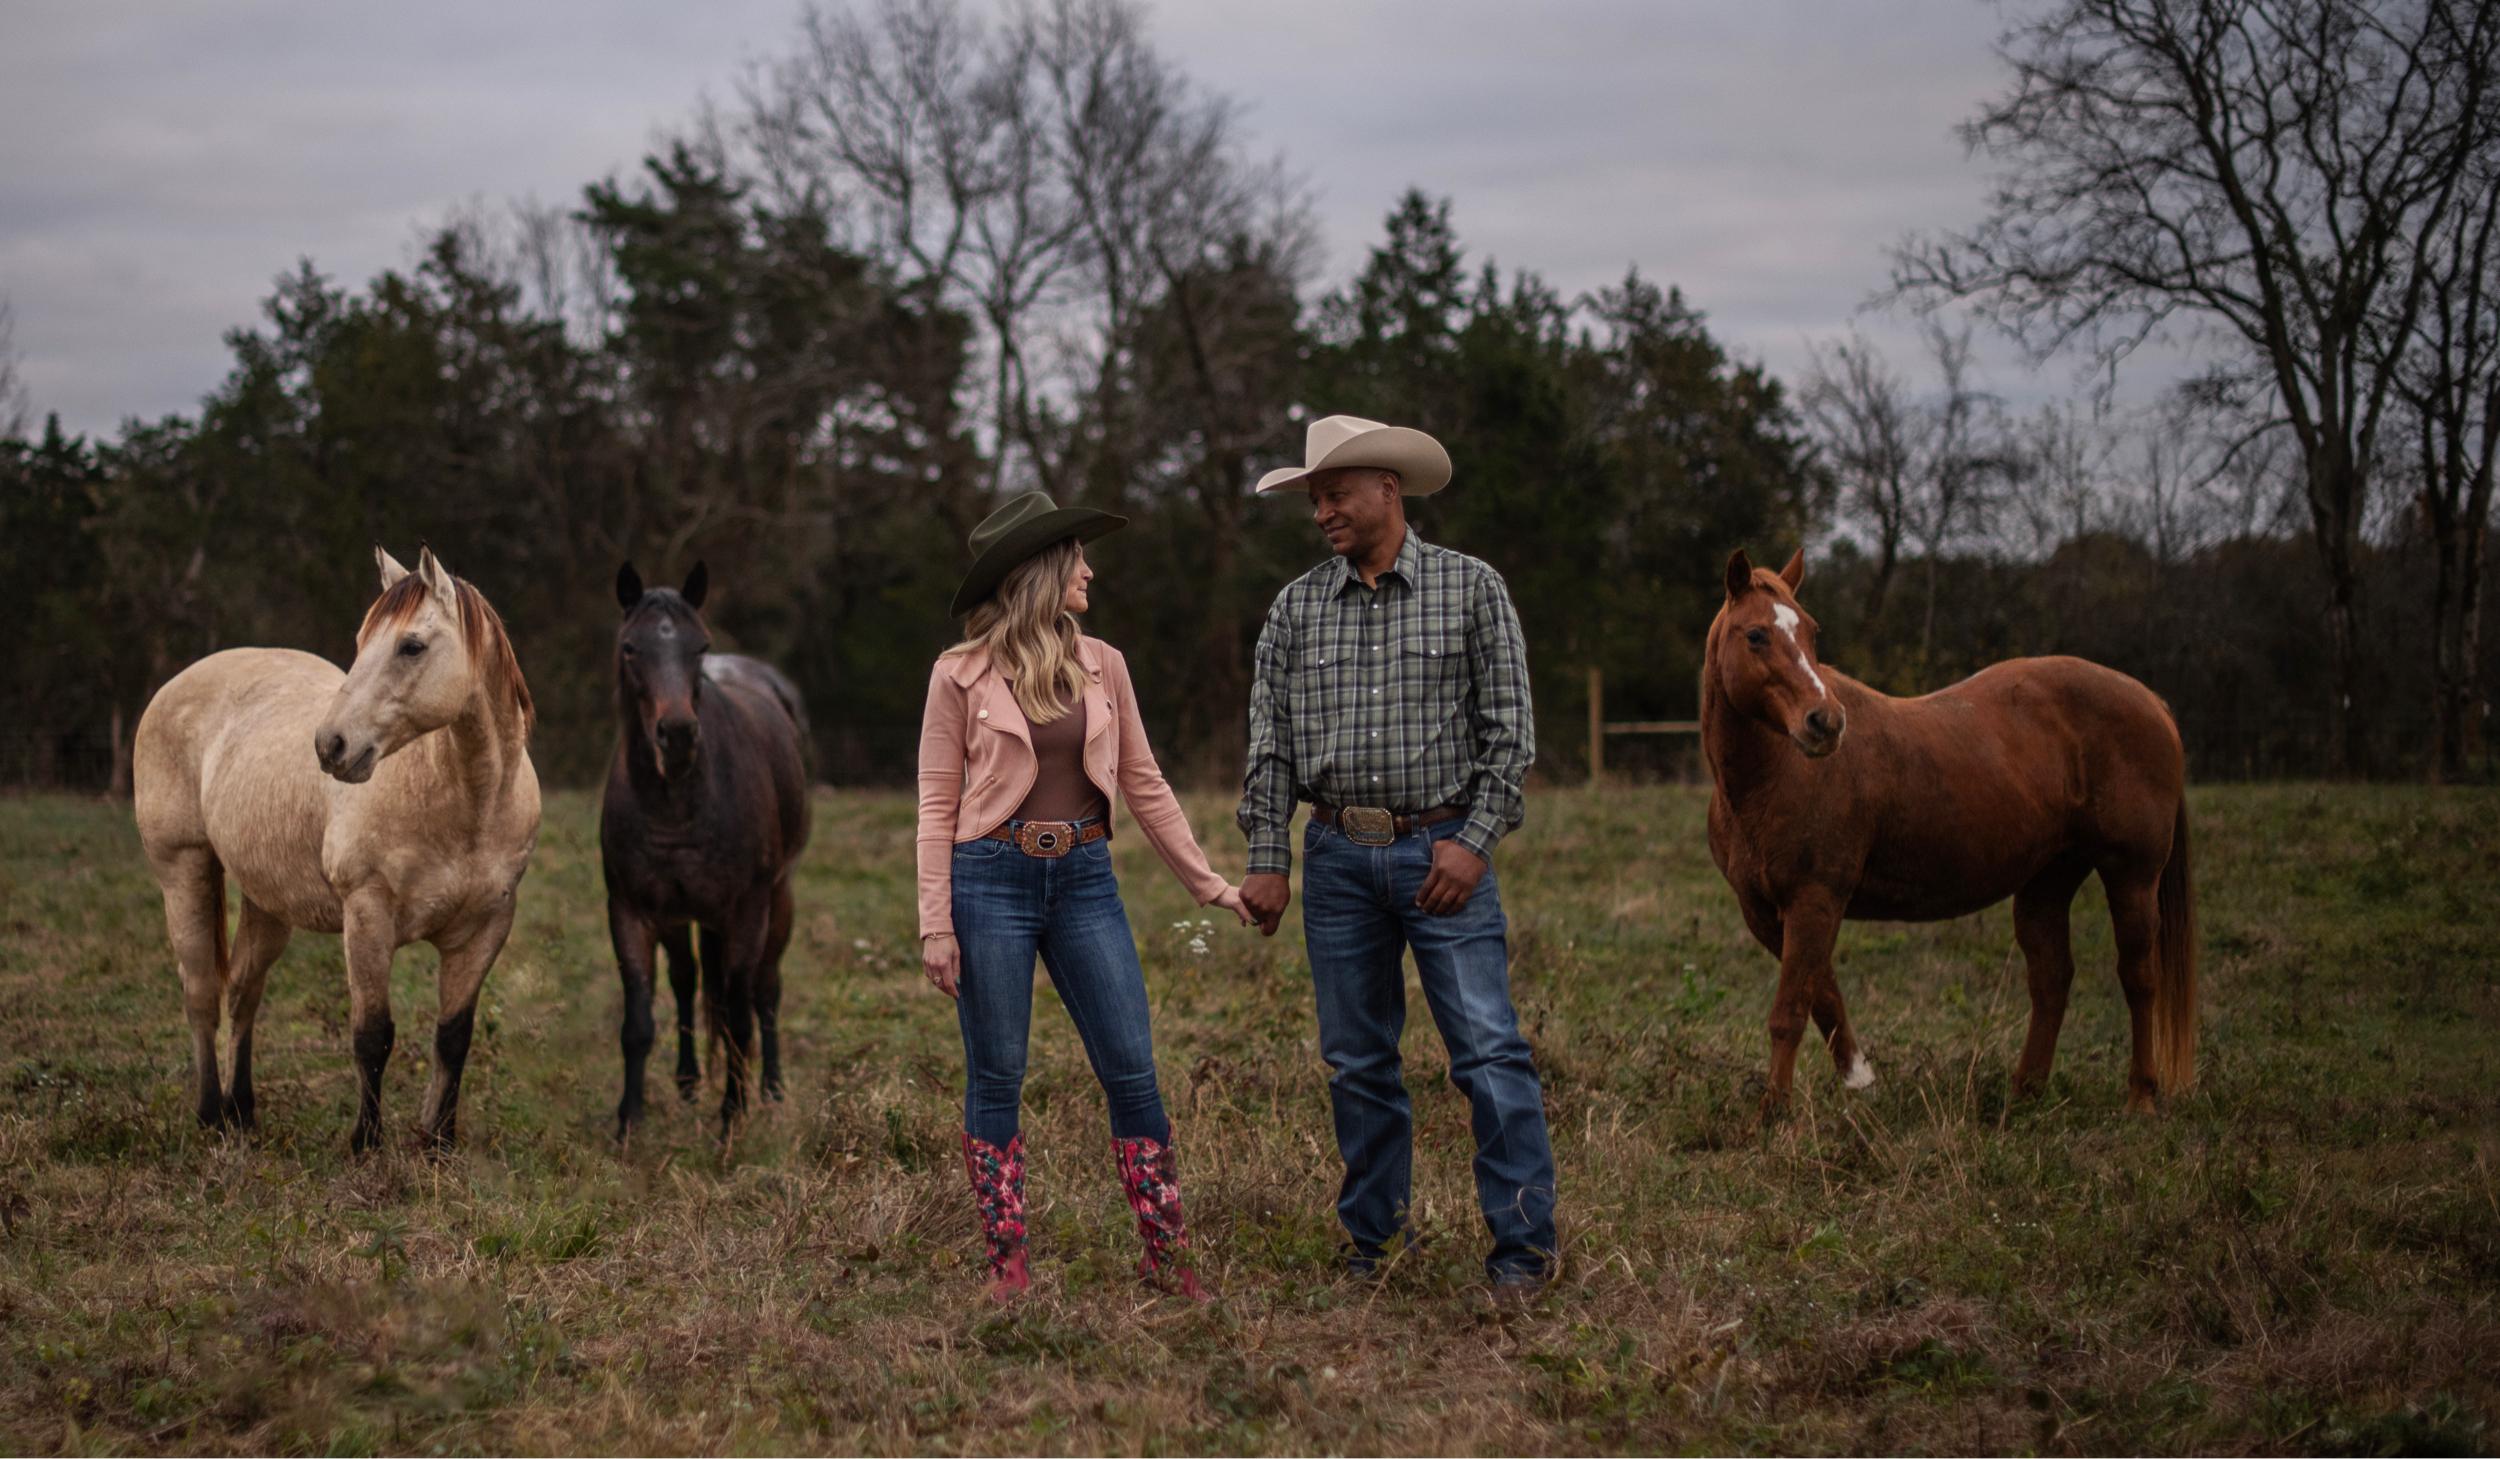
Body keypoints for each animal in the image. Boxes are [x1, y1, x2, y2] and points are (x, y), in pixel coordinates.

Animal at [133, 547, 541, 1151]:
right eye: (362, 640)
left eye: (411, 646)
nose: (331, 746)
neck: (466, 804)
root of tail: (177, 684)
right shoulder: (367, 916)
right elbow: (373, 1035)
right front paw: (365, 1143)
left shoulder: (486, 928)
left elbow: (453, 1036)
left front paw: (438, 1143)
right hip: (184, 870)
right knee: (203, 992)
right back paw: (210, 1115)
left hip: (267, 901)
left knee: (244, 991)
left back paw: (242, 1110)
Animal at [601, 561, 811, 1140]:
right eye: (630, 647)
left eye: (700, 646)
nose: (676, 735)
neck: (675, 806)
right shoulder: (631, 910)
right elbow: (639, 1021)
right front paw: (629, 1123)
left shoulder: (746, 911)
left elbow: (740, 1016)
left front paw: (732, 1119)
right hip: (682, 917)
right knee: (688, 980)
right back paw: (690, 1082)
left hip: (778, 900)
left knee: (765, 990)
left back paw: (772, 1090)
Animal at [1701, 548, 2196, 1118]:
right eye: (1756, 634)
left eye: (1811, 631)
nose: (1825, 722)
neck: (1773, 776)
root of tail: (2151, 701)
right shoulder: (1766, 911)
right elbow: (1823, 996)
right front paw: (1860, 1078)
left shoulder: (1815, 898)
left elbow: (1791, 1011)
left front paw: (1772, 1115)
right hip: (2048, 880)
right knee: (2051, 979)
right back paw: (2023, 1095)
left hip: (2132, 875)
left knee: (2139, 979)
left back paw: (2140, 1097)